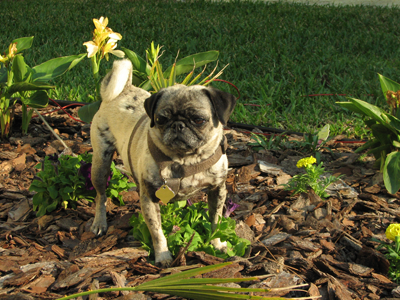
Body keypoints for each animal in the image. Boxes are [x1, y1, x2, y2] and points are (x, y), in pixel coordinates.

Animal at [89, 59, 236, 268]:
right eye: (160, 119)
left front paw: (216, 243)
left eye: (198, 120)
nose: (178, 125)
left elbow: (215, 220)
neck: (186, 160)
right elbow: (157, 232)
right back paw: (100, 223)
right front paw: (163, 256)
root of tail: (124, 89)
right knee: (101, 195)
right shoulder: (149, 198)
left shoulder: (218, 190)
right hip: (100, 164)